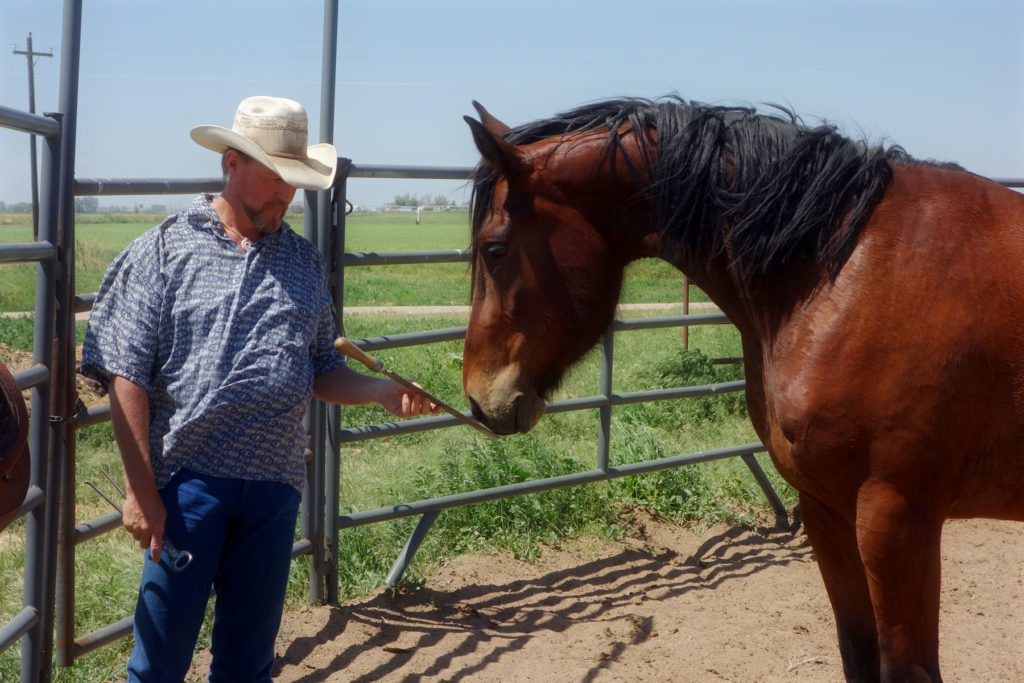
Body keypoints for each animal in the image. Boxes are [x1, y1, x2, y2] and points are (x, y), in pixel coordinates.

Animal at [460, 97, 1024, 683]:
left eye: (494, 249)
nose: (478, 398)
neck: (840, 271)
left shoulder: (896, 520)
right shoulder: (826, 511)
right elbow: (856, 650)